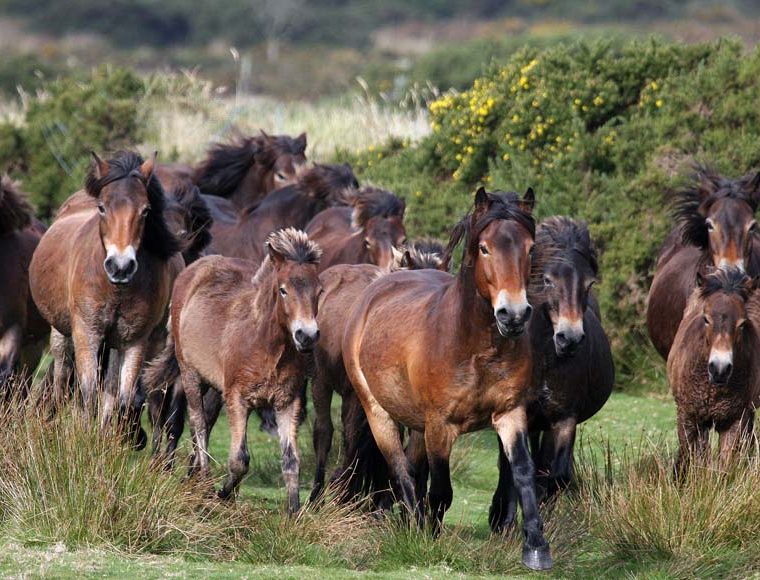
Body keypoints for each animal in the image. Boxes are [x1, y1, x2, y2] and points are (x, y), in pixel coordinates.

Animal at [29, 151, 183, 434]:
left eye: (146, 210)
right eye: (102, 208)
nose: (120, 266)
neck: (115, 290)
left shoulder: (134, 341)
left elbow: (120, 399)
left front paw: (108, 440)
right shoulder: (86, 332)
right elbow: (88, 395)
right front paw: (82, 439)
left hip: (114, 344)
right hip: (62, 334)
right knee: (62, 378)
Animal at [144, 228, 322, 512]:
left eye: (319, 291)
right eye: (283, 290)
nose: (307, 336)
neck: (267, 346)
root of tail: (193, 269)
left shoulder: (287, 402)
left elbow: (291, 459)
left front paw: (294, 511)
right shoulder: (238, 398)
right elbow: (239, 460)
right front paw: (221, 494)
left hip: (215, 388)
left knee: (203, 423)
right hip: (190, 375)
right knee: (198, 423)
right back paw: (204, 480)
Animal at [341, 187, 553, 571]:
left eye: (530, 248)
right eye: (484, 248)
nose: (514, 315)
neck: (474, 347)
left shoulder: (510, 413)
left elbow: (523, 472)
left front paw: (536, 549)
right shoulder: (441, 425)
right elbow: (441, 491)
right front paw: (429, 540)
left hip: (417, 426)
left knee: (412, 468)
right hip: (379, 413)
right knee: (401, 471)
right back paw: (412, 526)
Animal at [488, 217, 614, 533]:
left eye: (589, 283)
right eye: (547, 280)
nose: (569, 339)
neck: (544, 360)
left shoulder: (564, 418)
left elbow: (555, 475)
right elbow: (511, 468)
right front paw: (503, 520)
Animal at [668, 267, 760, 472]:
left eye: (742, 323)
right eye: (706, 319)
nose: (720, 368)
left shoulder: (735, 420)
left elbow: (725, 464)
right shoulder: (689, 416)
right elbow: (691, 458)